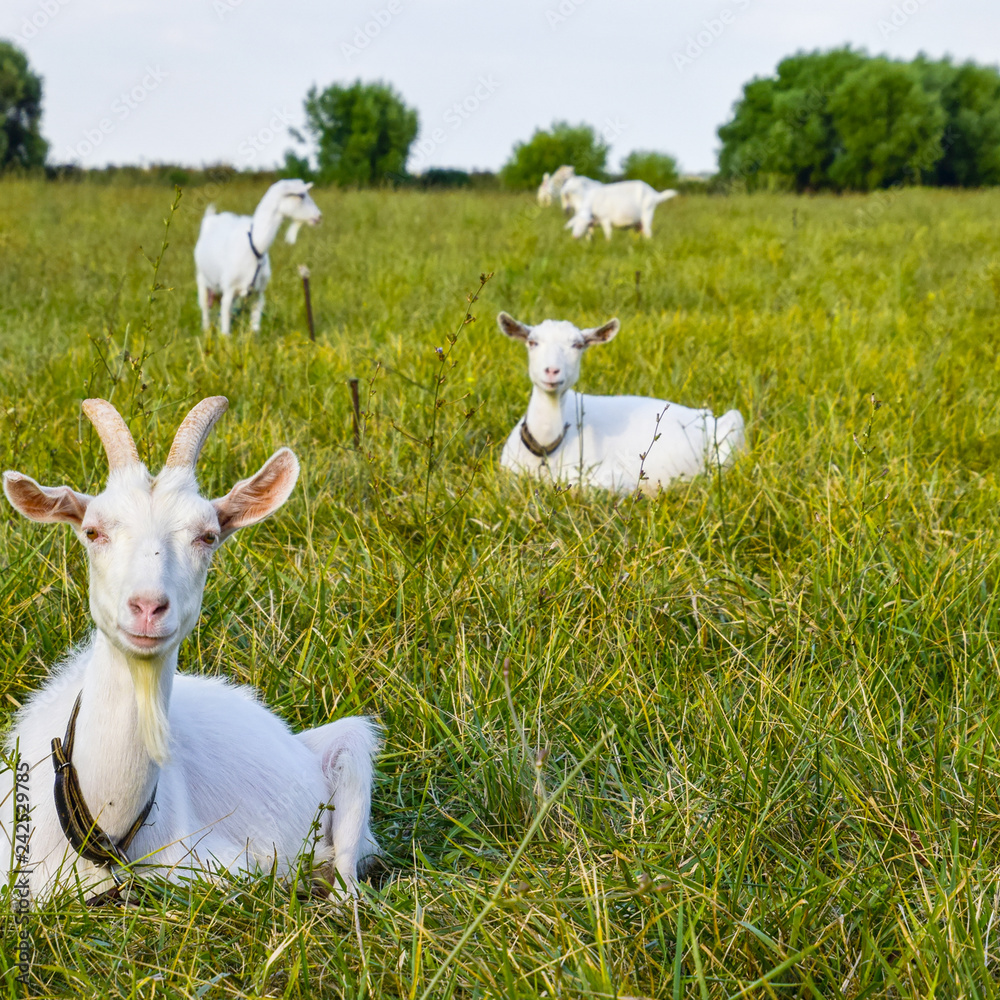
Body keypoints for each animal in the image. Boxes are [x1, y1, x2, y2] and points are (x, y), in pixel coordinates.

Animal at [194, 179, 321, 336]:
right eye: (301, 195)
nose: (319, 216)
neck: (255, 247)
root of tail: (211, 218)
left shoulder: (258, 293)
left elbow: (255, 330)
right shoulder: (228, 290)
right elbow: (225, 332)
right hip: (202, 280)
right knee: (205, 310)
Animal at [498, 313, 745, 494]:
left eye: (578, 345)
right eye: (532, 342)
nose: (551, 371)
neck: (544, 448)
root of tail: (706, 415)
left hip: (732, 428)